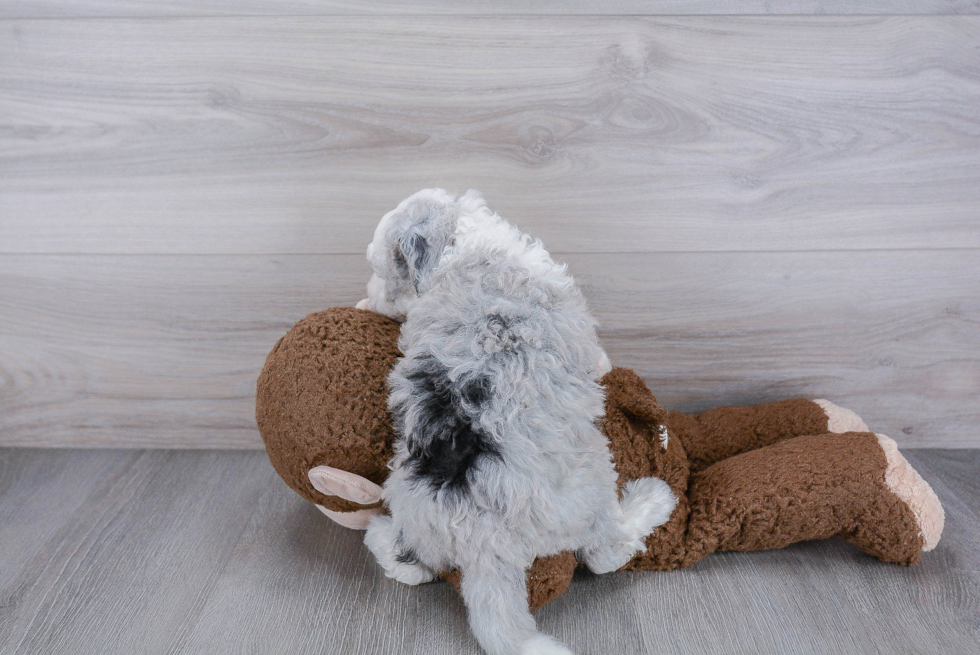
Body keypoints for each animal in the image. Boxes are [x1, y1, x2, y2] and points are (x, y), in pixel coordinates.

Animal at [358, 188, 672, 655]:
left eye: (385, 272)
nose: (368, 296)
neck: (465, 244)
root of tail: (484, 541)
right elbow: (599, 359)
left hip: (409, 506)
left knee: (411, 566)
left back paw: (378, 534)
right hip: (593, 483)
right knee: (605, 554)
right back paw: (653, 500)